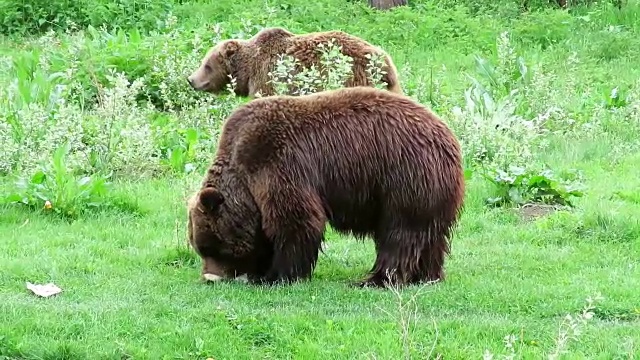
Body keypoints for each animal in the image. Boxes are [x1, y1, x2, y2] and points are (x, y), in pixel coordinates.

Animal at [186, 86, 464, 288]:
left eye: (213, 246)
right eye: (200, 246)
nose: (211, 278)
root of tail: (450, 138)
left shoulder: (278, 163)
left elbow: (296, 220)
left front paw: (275, 275)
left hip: (405, 179)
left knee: (399, 233)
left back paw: (375, 279)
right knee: (430, 237)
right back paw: (427, 275)